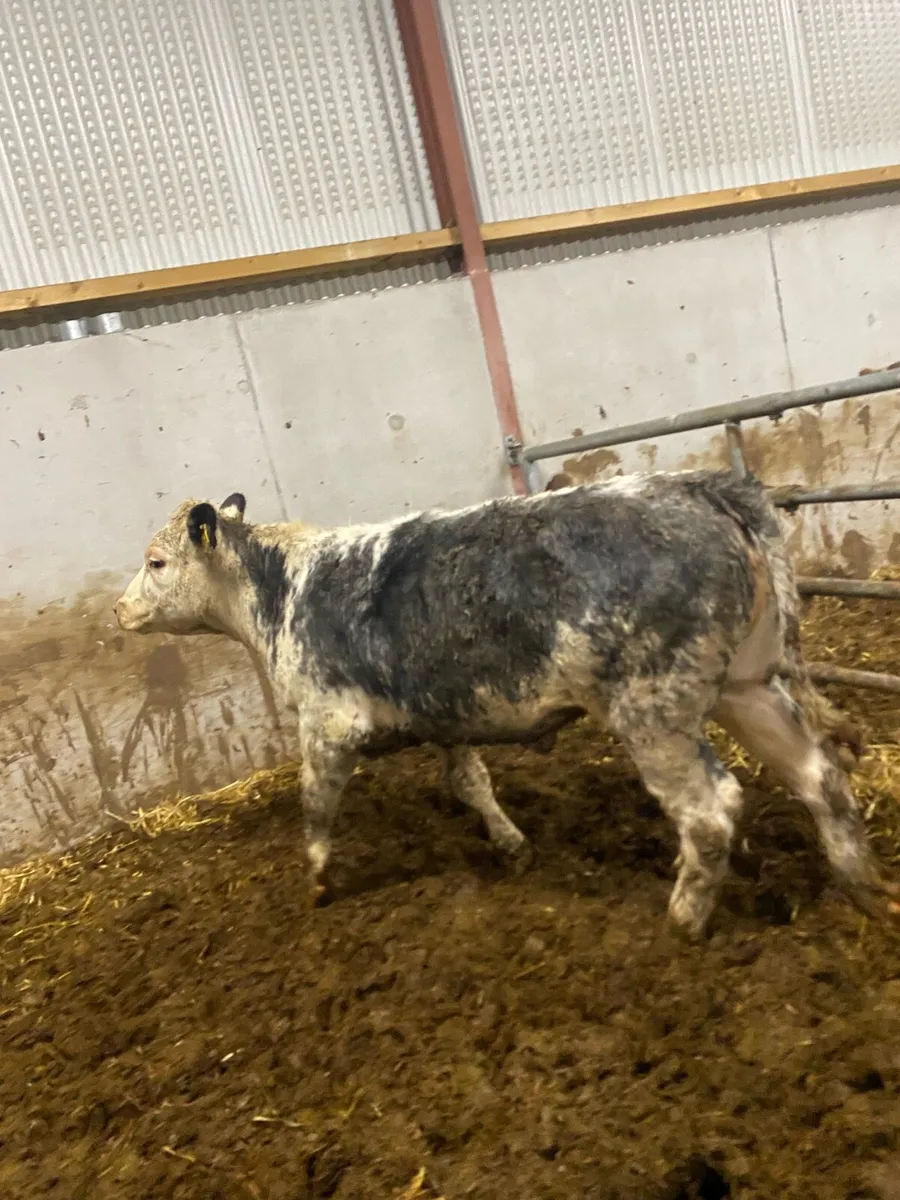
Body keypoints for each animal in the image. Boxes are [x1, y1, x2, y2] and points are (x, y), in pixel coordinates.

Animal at [114, 472, 899, 938]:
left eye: (156, 562)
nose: (119, 611)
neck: (284, 590)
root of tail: (697, 487)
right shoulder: (443, 712)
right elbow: (470, 781)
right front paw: (511, 844)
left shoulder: (327, 724)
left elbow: (316, 806)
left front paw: (316, 882)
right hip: (748, 687)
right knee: (819, 777)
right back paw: (866, 887)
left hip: (654, 711)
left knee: (711, 812)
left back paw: (682, 919)